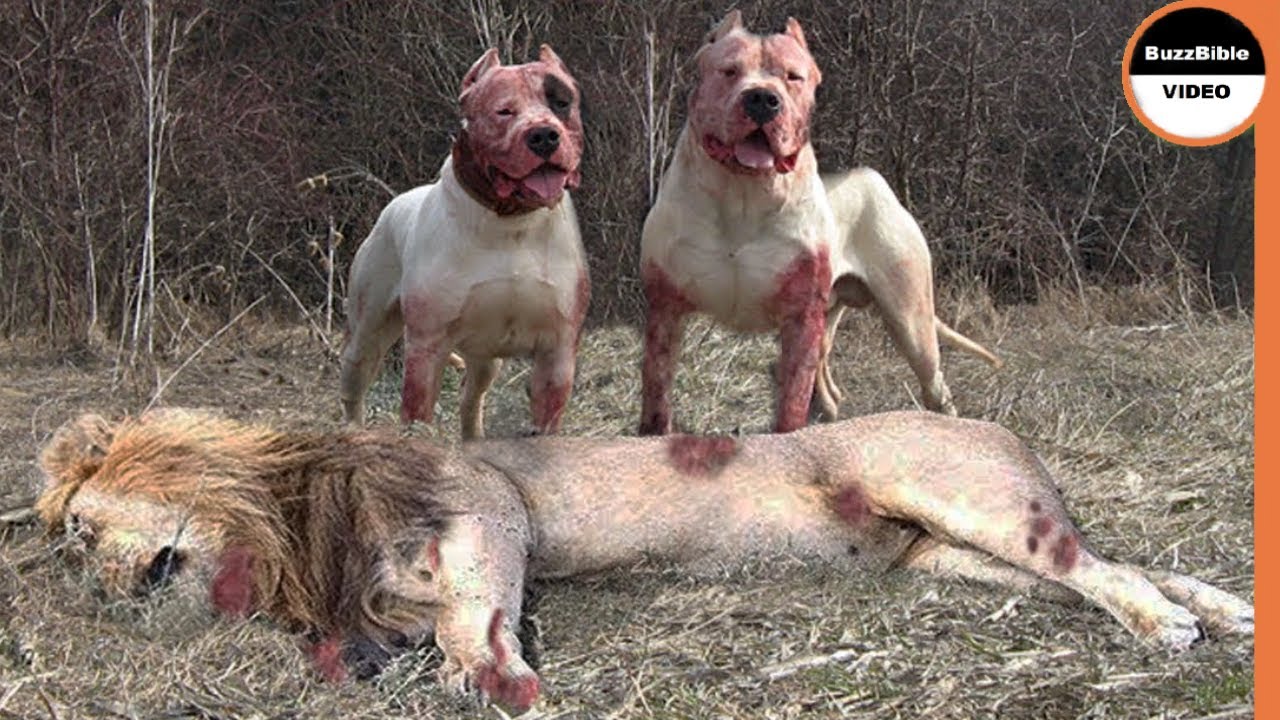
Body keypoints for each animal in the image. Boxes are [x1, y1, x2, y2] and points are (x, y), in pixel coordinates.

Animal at [37, 409, 1249, 712]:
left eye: (81, 527)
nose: (97, 594)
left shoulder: (486, 502)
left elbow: (476, 606)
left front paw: (492, 677)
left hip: (956, 493)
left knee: (1103, 571)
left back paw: (1171, 630)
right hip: (941, 561)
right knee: (1105, 563)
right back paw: (1225, 610)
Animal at [340, 47, 588, 438]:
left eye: (562, 102)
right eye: (504, 111)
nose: (544, 136)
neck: (511, 221)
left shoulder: (557, 353)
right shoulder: (427, 347)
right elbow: (417, 415)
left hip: (485, 358)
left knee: (472, 399)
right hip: (366, 334)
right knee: (355, 383)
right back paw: (352, 432)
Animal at [640, 12, 998, 430]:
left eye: (793, 77)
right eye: (728, 71)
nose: (762, 98)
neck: (744, 193)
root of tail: (874, 179)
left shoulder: (801, 315)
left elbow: (792, 402)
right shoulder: (665, 310)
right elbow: (656, 402)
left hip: (910, 320)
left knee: (934, 384)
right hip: (833, 317)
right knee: (827, 375)